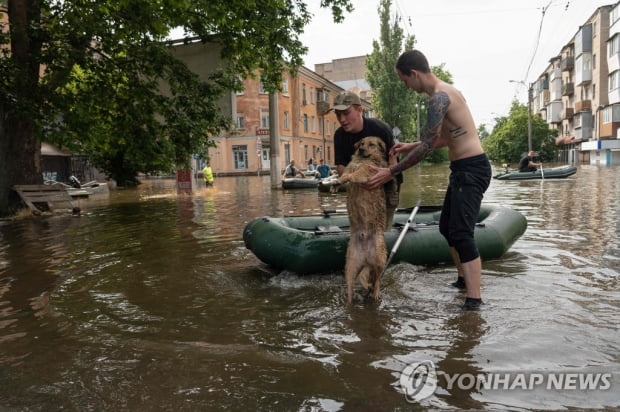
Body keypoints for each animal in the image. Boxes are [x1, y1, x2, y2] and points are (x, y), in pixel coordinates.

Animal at [334, 136, 388, 302]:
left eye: (372, 144)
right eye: (361, 143)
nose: (361, 149)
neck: (362, 159)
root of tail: (365, 258)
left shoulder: (365, 172)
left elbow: (352, 175)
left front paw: (341, 180)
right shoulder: (349, 167)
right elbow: (344, 174)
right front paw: (336, 183)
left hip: (379, 259)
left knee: (377, 279)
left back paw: (375, 292)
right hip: (350, 267)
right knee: (352, 285)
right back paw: (350, 299)